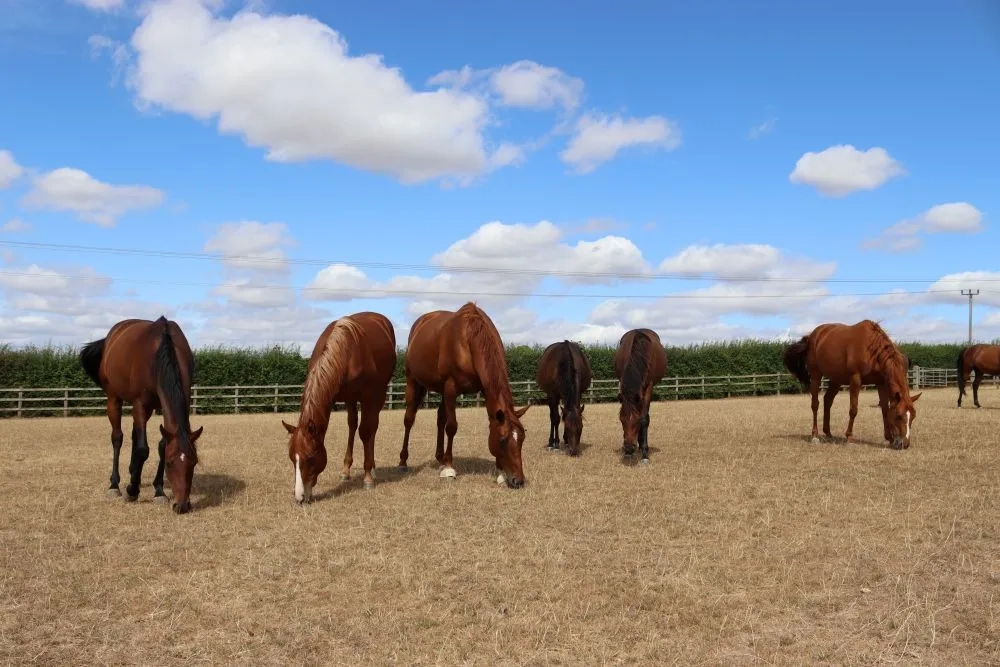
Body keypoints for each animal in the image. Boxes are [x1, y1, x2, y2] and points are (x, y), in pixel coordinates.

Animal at [79, 316, 204, 514]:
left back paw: (132, 471)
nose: (182, 505)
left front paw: (159, 491)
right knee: (117, 437)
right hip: (114, 398)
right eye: (170, 463)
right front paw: (132, 490)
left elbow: (161, 445)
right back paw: (115, 485)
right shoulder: (140, 404)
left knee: (133, 435)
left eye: (194, 462)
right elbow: (143, 449)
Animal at [280, 311, 396, 503]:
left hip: (379, 394)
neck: (347, 351)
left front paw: (367, 478)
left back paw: (372, 468)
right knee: (353, 425)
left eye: (310, 458)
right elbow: (352, 427)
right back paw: (346, 471)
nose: (299, 497)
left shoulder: (368, 397)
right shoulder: (343, 398)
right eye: (291, 458)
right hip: (352, 399)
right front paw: (346, 471)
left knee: (372, 427)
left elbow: (366, 432)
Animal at [398, 302, 531, 488]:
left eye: (522, 439)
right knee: (409, 419)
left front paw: (500, 473)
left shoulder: (483, 388)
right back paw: (404, 462)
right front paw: (449, 469)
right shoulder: (450, 388)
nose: (518, 480)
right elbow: (452, 427)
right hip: (414, 381)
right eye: (502, 440)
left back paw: (440, 458)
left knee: (440, 418)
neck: (468, 339)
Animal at [613, 328, 668, 465]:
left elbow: (644, 419)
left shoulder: (649, 388)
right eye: (621, 420)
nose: (628, 448)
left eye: (636, 422)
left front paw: (644, 454)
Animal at [782, 319, 922, 449]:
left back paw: (828, 433)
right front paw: (849, 437)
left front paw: (889, 438)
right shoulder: (855, 380)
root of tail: (812, 336)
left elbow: (885, 409)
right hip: (816, 375)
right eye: (899, 416)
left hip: (836, 379)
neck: (872, 351)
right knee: (815, 404)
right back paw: (815, 435)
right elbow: (853, 409)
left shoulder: (881, 383)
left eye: (913, 417)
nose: (905, 444)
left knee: (828, 400)